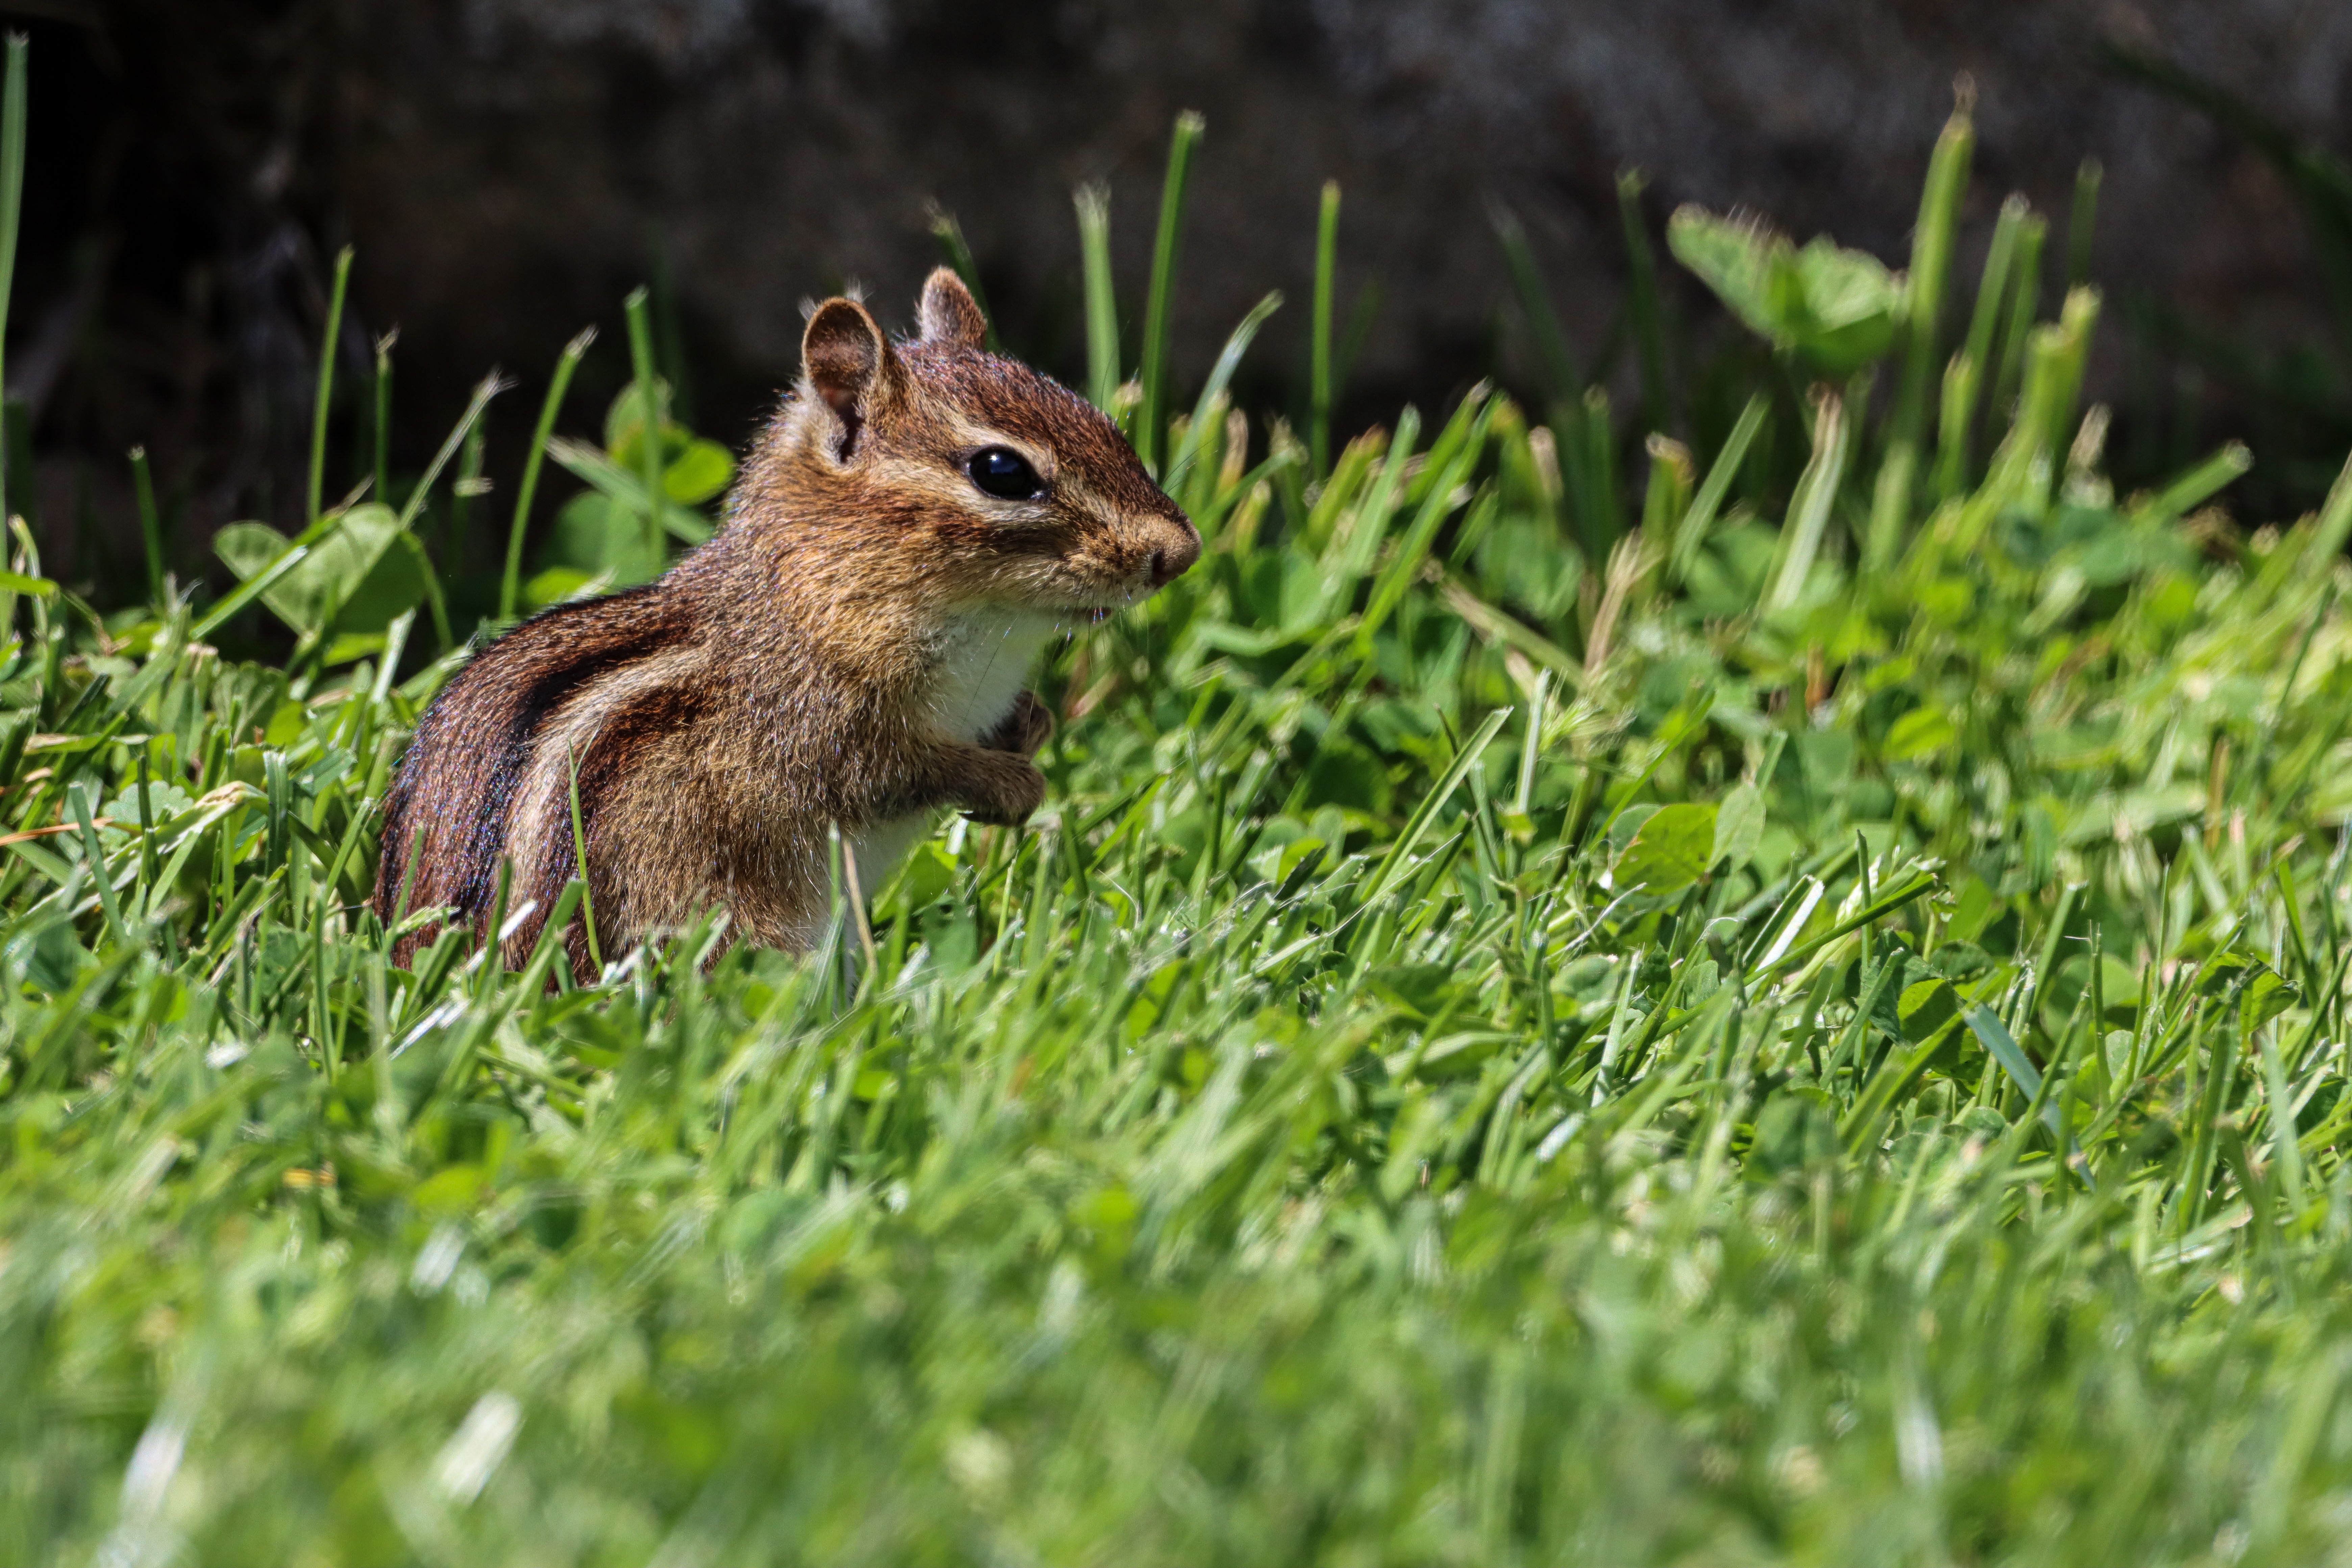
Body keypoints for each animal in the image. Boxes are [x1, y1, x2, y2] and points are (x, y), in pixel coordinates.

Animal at [373, 267, 1199, 978]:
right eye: (1002, 471)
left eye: (1104, 422)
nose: (1181, 553)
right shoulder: (820, 730)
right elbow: (899, 773)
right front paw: (1012, 783)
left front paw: (1032, 724)